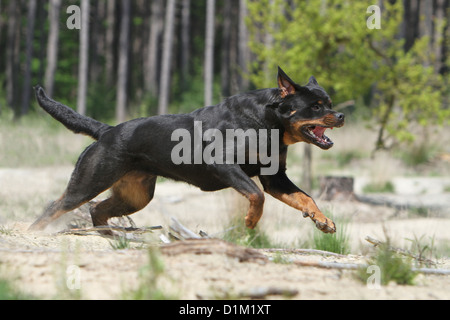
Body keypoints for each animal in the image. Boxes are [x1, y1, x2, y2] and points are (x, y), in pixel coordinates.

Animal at [29, 68, 344, 235]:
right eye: (316, 106)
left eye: (329, 103)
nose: (340, 115)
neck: (268, 122)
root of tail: (107, 130)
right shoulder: (223, 164)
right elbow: (256, 195)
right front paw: (250, 221)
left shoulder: (274, 177)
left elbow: (305, 198)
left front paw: (323, 220)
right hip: (90, 180)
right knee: (55, 207)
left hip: (136, 195)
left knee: (97, 208)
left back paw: (105, 234)